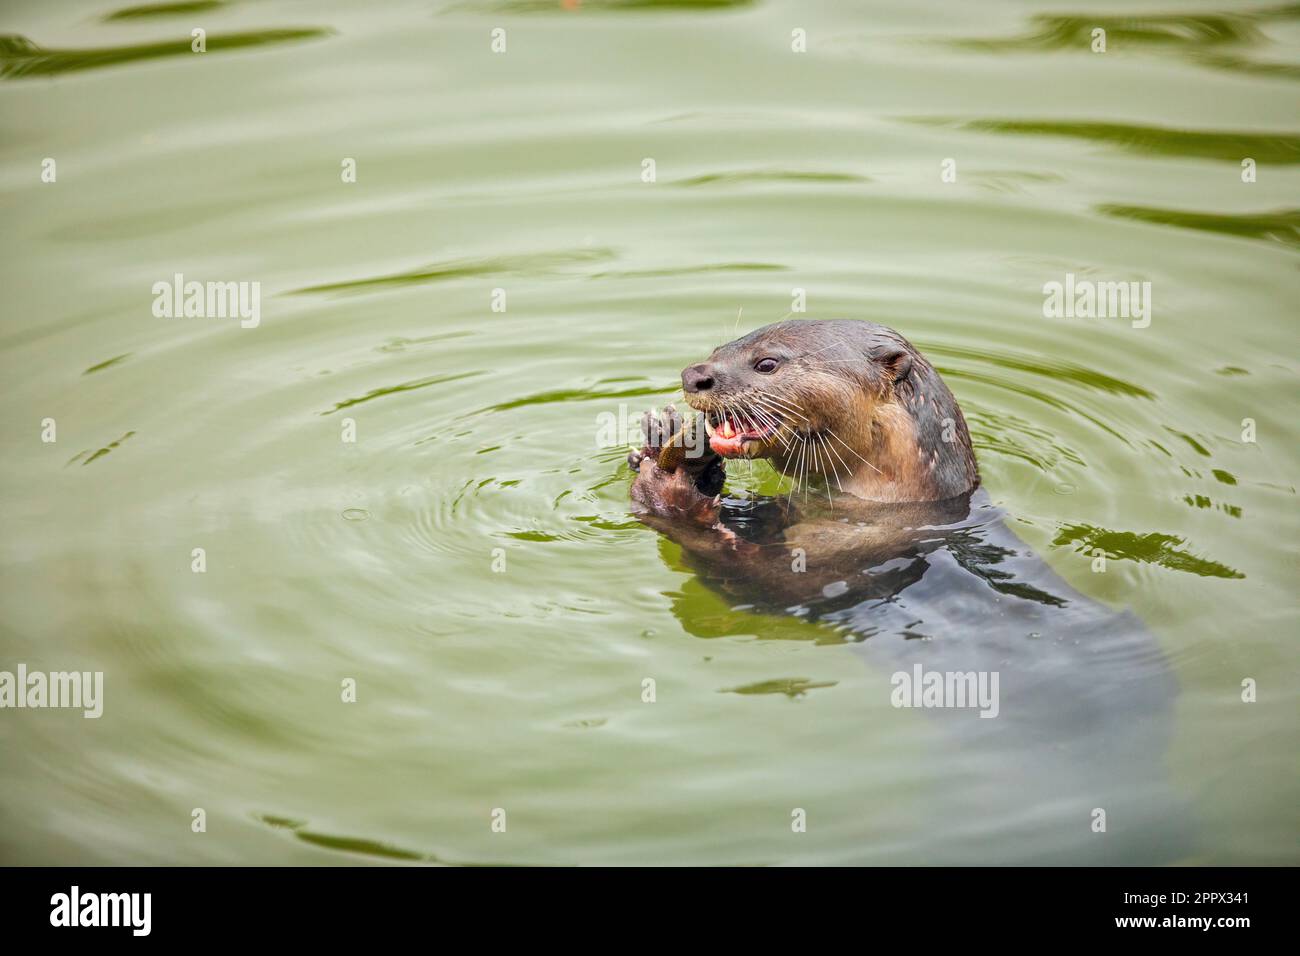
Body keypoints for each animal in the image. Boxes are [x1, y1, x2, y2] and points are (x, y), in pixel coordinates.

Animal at [624, 321, 1190, 868]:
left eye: (767, 363)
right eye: (721, 349)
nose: (695, 375)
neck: (890, 512)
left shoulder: (840, 570)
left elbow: (755, 582)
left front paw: (670, 487)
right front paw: (665, 445)